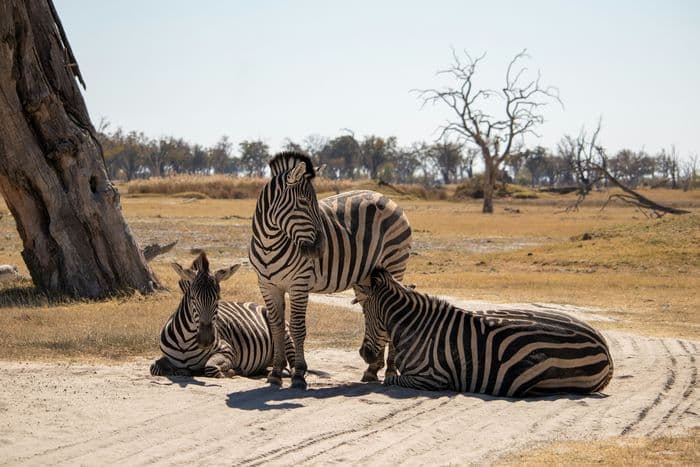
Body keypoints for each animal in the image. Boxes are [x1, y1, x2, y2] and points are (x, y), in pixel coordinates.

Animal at [150, 252, 295, 378]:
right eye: (193, 298)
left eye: (218, 299)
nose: (206, 340)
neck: (185, 342)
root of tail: (256, 304)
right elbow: (154, 368)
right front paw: (180, 371)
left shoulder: (227, 350)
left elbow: (210, 368)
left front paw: (232, 371)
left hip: (284, 332)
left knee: (291, 363)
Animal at [249, 151, 412, 389]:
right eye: (303, 202)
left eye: (315, 202)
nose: (320, 248)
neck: (269, 242)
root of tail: (386, 197)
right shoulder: (267, 286)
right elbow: (277, 327)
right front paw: (276, 373)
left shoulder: (299, 283)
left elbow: (297, 328)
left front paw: (299, 374)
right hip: (366, 277)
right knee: (372, 311)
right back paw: (372, 369)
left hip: (395, 263)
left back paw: (390, 371)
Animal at [357, 269, 614, 397]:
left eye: (365, 313)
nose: (363, 354)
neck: (415, 327)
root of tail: (604, 347)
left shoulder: (431, 377)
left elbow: (391, 379)